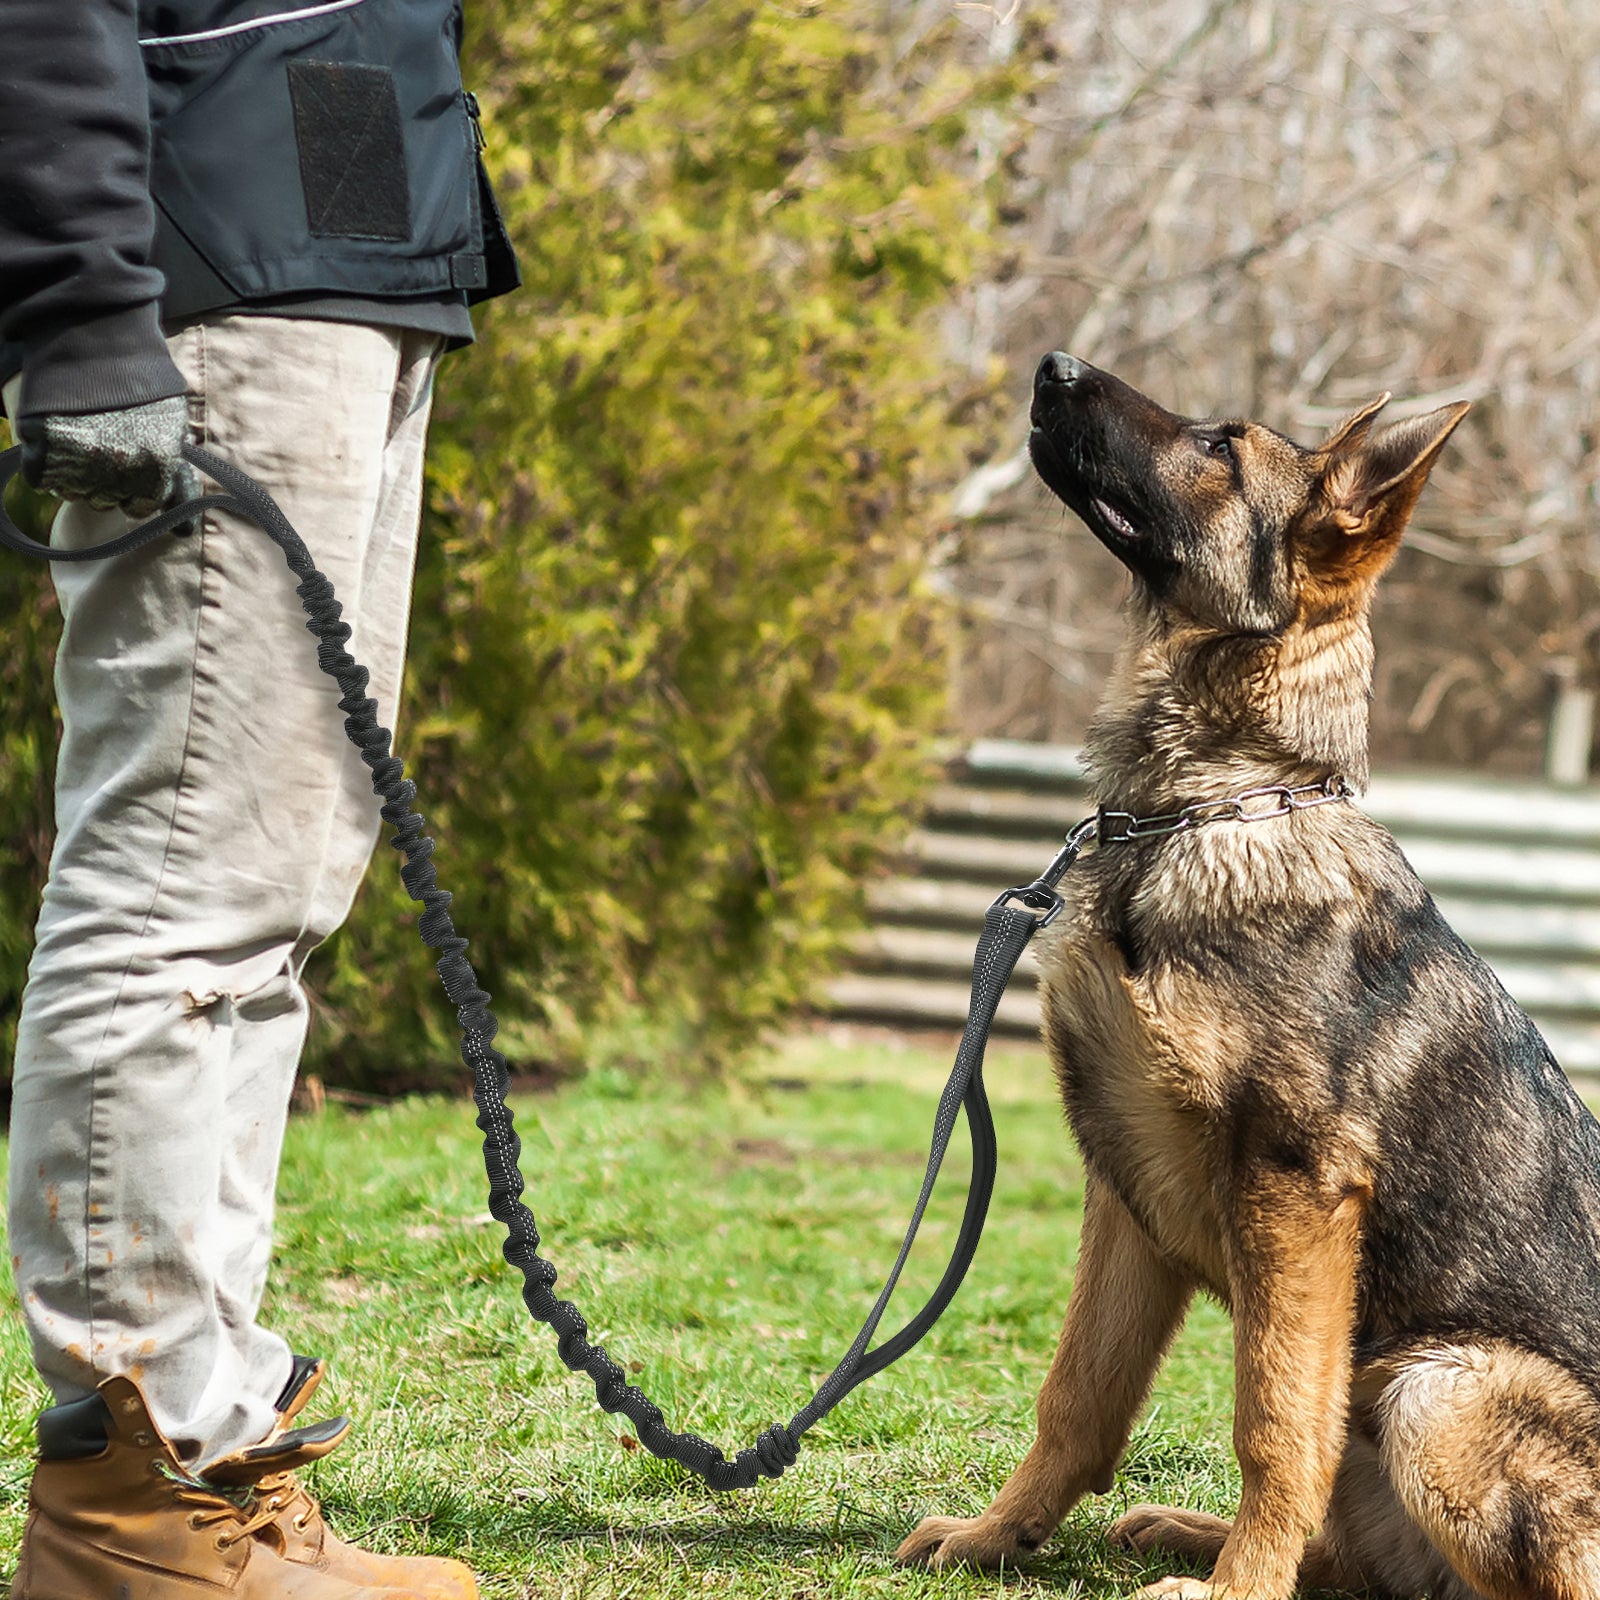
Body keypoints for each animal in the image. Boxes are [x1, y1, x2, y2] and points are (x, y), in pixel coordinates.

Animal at [896, 356, 1600, 1593]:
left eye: (1221, 447)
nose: (1051, 365)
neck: (1210, 802)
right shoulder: (1122, 1187)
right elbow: (1076, 1396)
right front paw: (994, 1536)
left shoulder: (1294, 1186)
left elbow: (1274, 1417)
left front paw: (1241, 1586)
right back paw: (1185, 1534)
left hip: (1434, 1387)